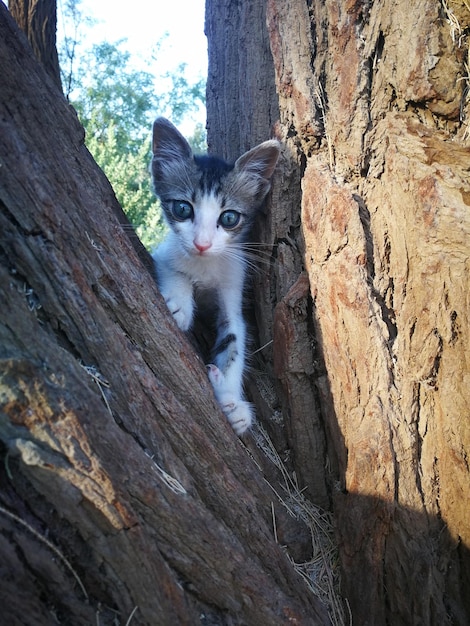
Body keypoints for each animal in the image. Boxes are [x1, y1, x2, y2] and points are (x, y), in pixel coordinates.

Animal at [151, 117, 280, 432]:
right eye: (182, 208)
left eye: (229, 217)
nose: (202, 244)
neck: (206, 266)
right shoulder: (164, 252)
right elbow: (174, 269)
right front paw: (179, 306)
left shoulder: (233, 287)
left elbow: (234, 339)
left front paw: (233, 403)